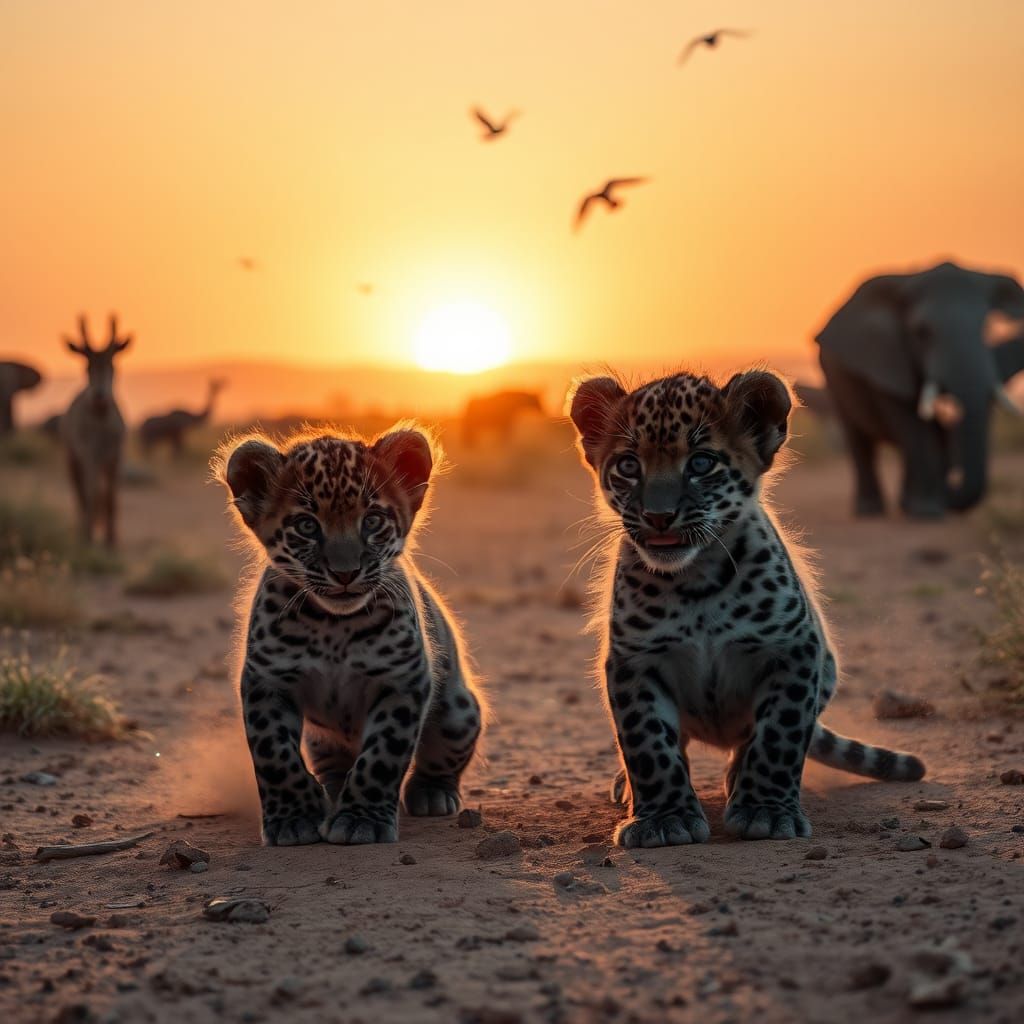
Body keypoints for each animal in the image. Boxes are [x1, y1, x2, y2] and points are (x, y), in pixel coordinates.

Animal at [215, 425, 482, 846]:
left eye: (372, 521)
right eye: (307, 525)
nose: (345, 573)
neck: (333, 627)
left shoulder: (402, 680)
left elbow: (382, 755)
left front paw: (362, 821)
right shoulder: (266, 679)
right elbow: (273, 753)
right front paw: (294, 818)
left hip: (460, 711)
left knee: (442, 758)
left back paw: (432, 793)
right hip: (321, 738)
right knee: (333, 763)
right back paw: (332, 790)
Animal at [569, 369, 925, 848]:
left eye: (701, 464)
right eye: (628, 465)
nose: (658, 516)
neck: (694, 581)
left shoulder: (795, 649)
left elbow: (779, 735)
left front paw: (765, 813)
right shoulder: (632, 660)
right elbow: (648, 744)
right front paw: (664, 818)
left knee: (751, 739)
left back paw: (738, 778)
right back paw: (628, 785)